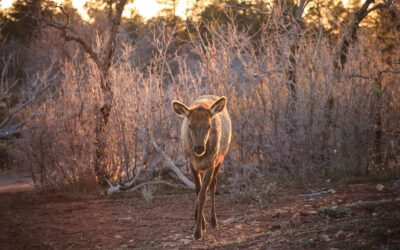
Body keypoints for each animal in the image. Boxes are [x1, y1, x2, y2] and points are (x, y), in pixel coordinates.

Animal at [171, 94, 231, 239]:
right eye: (190, 125)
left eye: (209, 125)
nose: (199, 148)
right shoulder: (192, 164)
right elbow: (198, 191)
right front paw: (201, 223)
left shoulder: (211, 163)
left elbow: (203, 195)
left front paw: (198, 231)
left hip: (220, 159)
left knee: (213, 185)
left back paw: (214, 221)